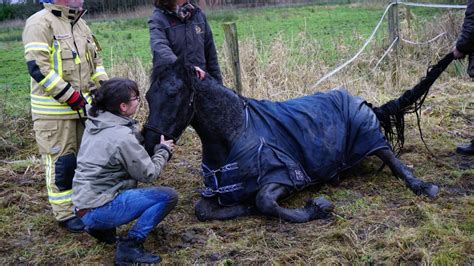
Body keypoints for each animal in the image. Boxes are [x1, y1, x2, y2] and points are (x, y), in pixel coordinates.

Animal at [143, 53, 454, 222]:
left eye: (173, 93)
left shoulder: (285, 178)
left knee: (393, 158)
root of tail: (364, 103)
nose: (148, 143)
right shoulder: (216, 193)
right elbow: (202, 209)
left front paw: (318, 207)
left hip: (371, 140)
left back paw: (423, 187)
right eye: (147, 96)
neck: (236, 132)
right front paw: (242, 206)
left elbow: (264, 202)